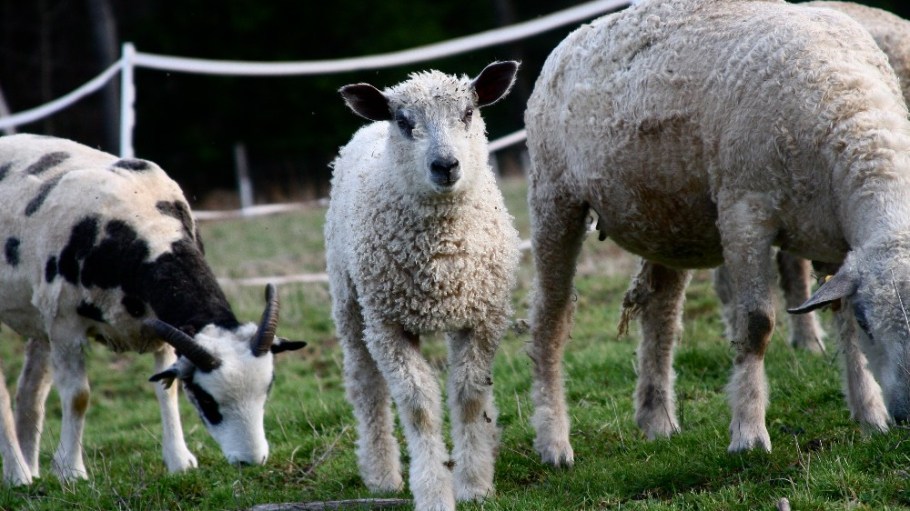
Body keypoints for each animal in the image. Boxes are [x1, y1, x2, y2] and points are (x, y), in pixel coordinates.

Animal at [0, 134, 305, 485]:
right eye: (206, 399)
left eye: (267, 389)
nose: (251, 461)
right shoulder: (64, 326)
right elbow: (78, 396)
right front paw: (71, 472)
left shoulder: (164, 328)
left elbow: (165, 388)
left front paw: (179, 461)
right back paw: (17, 475)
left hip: (38, 321)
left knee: (30, 393)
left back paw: (30, 470)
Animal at [325, 61, 520, 511]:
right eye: (404, 121)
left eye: (468, 113)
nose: (445, 165)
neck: (441, 258)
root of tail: (367, 129)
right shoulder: (387, 326)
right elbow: (418, 407)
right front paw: (433, 491)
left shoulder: (483, 317)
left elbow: (469, 396)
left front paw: (475, 484)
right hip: (350, 301)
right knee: (366, 386)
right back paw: (382, 474)